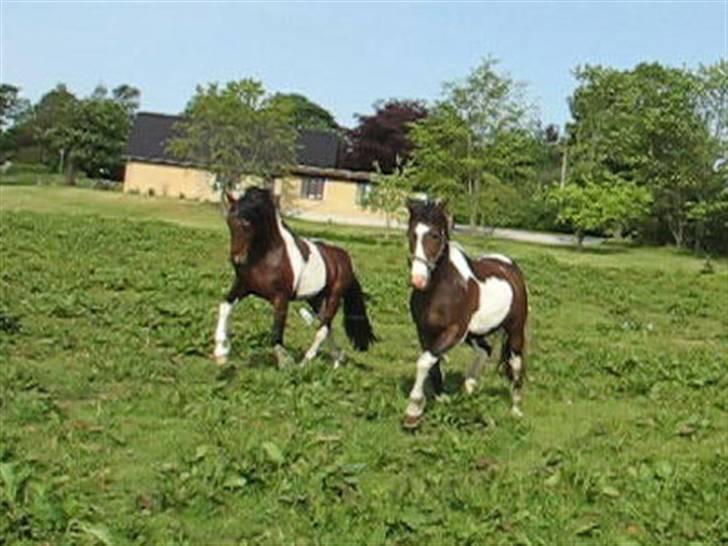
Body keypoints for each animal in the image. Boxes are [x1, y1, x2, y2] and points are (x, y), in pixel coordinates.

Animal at [212, 186, 376, 366]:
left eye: (248, 223)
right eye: (229, 222)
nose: (237, 260)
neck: (266, 256)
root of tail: (345, 260)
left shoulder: (281, 299)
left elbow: (276, 334)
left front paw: (286, 362)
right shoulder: (243, 286)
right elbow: (225, 306)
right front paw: (221, 353)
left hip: (334, 297)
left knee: (323, 329)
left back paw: (306, 362)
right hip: (315, 299)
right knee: (326, 327)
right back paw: (338, 359)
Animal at [404, 198, 528, 428]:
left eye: (435, 235)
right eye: (411, 233)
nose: (418, 280)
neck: (441, 290)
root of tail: (510, 267)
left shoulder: (454, 331)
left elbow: (425, 361)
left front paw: (413, 412)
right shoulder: (424, 331)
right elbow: (432, 364)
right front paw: (442, 398)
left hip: (514, 330)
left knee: (515, 363)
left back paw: (516, 409)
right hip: (475, 333)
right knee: (485, 350)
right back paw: (469, 388)